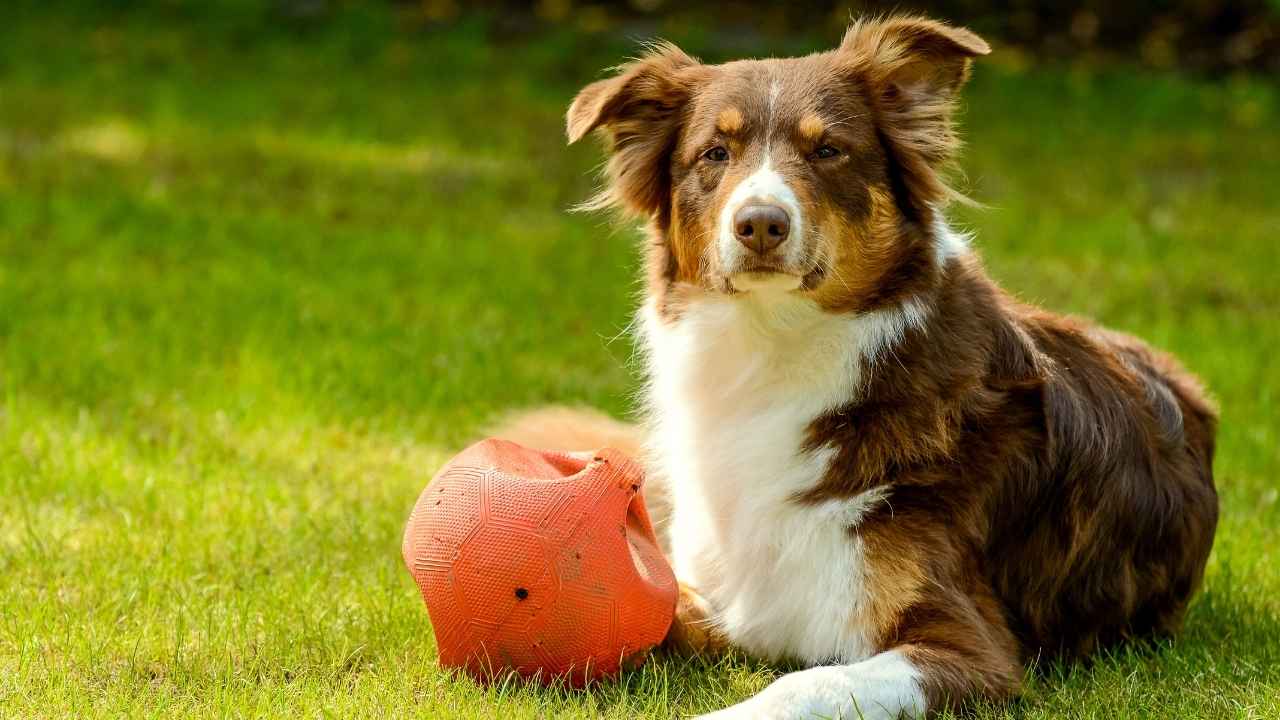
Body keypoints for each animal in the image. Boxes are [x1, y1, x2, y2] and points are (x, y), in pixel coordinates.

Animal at [494, 14, 1213, 712]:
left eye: (828, 150)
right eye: (715, 154)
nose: (760, 223)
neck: (773, 348)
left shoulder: (971, 647)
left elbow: (809, 682)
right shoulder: (715, 598)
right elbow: (650, 613)